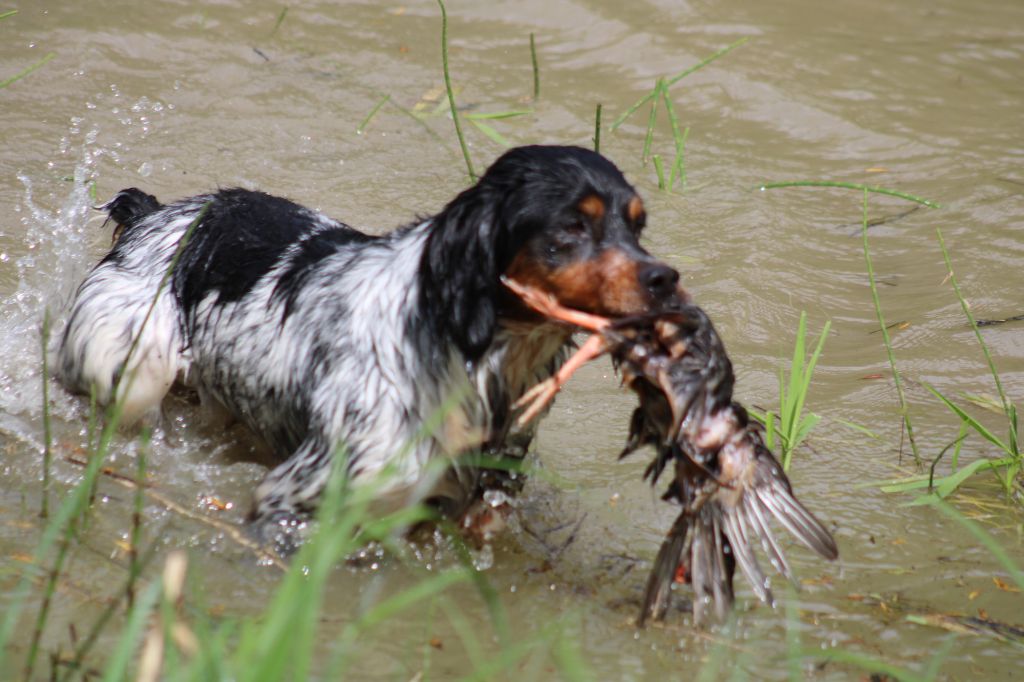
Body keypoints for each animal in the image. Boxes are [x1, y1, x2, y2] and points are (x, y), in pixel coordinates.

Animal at [56, 146, 679, 540]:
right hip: (132, 366)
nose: (666, 279)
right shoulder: (297, 493)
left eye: (637, 224)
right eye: (572, 226)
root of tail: (154, 216)